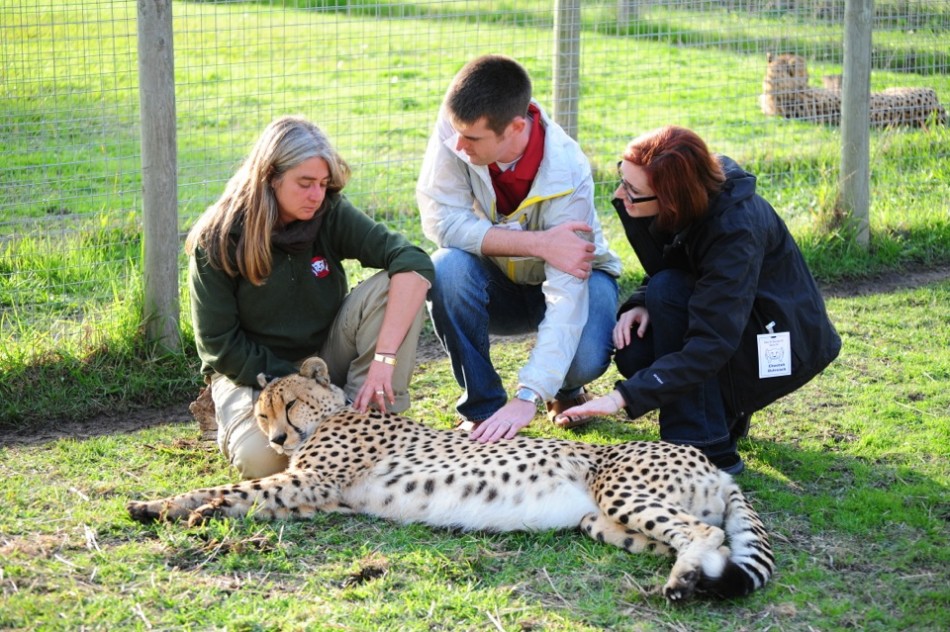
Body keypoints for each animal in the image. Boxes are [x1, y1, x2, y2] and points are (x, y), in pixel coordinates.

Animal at [128, 357, 775, 601]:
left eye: (287, 406)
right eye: (261, 416)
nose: (279, 440)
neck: (332, 415)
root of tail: (709, 461)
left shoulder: (313, 483)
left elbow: (234, 490)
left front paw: (174, 508)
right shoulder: (319, 498)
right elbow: (244, 497)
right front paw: (177, 511)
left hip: (620, 490)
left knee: (707, 533)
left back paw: (681, 584)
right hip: (602, 521)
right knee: (706, 540)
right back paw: (693, 579)